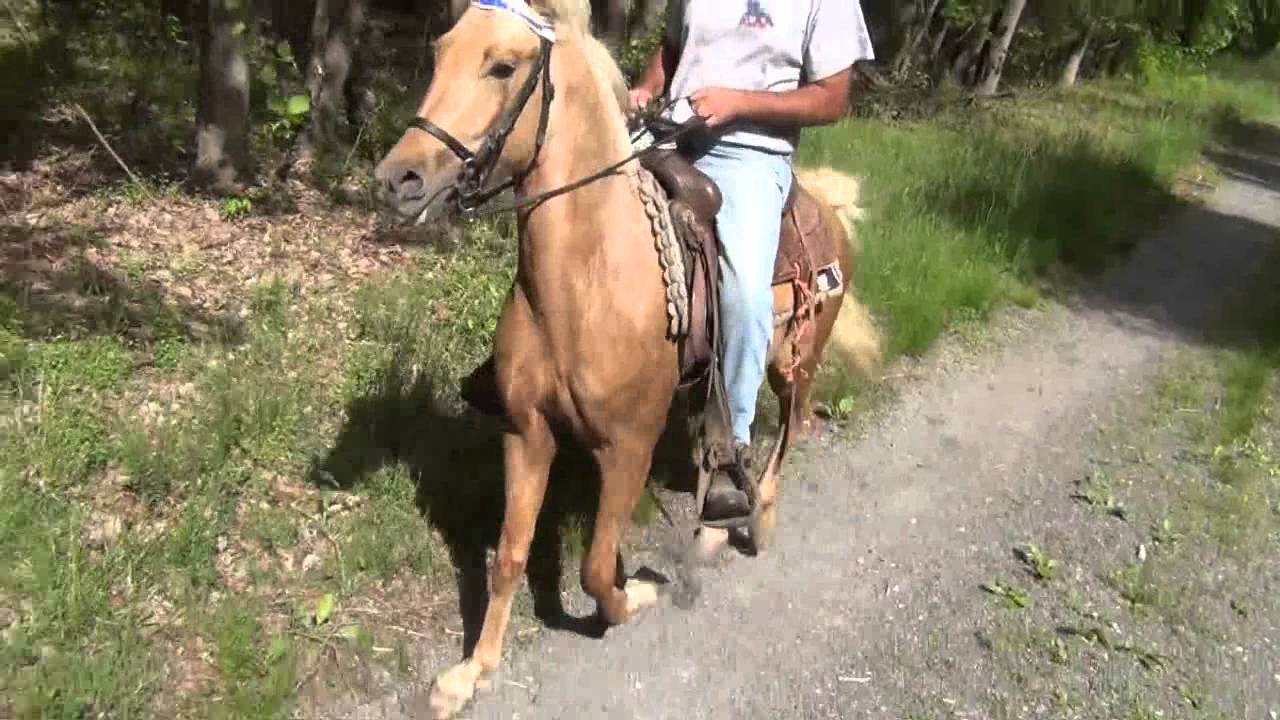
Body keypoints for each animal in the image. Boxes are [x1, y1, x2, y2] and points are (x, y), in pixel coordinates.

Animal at [372, 2, 881, 717]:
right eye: (442, 51)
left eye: (503, 66)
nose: (399, 179)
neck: (590, 277)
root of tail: (824, 206)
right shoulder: (527, 433)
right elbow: (511, 553)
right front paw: (471, 671)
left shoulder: (628, 445)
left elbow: (591, 569)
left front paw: (633, 594)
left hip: (795, 364)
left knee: (788, 427)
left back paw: (755, 513)